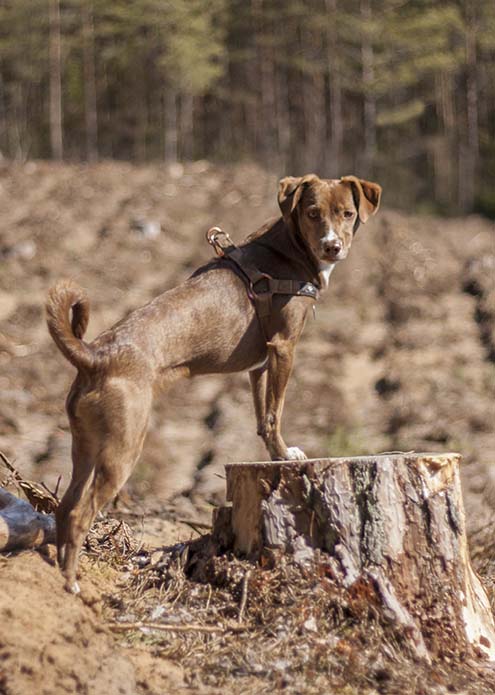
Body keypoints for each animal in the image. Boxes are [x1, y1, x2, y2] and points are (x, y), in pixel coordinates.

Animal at [45, 175, 380, 592]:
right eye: (312, 213)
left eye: (347, 214)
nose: (332, 246)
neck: (289, 247)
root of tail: (94, 355)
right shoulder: (284, 348)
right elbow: (277, 413)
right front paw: (286, 455)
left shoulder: (260, 365)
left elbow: (263, 418)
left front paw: (273, 454)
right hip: (121, 450)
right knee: (80, 514)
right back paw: (72, 584)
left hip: (85, 447)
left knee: (64, 508)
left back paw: (60, 572)